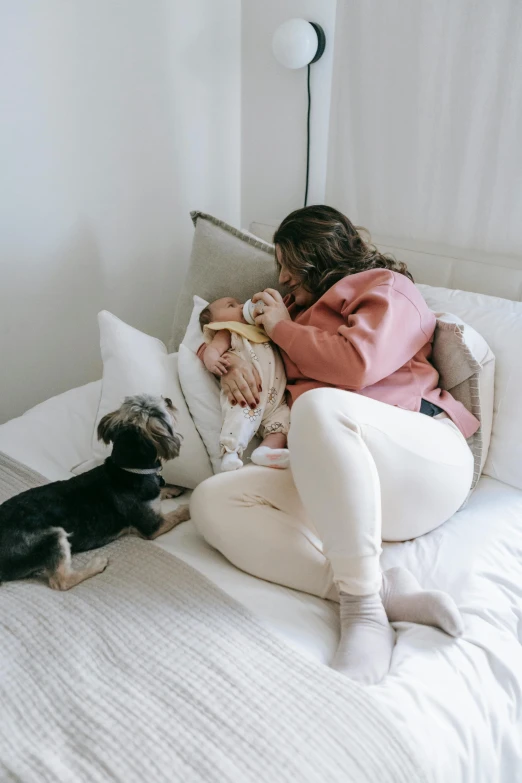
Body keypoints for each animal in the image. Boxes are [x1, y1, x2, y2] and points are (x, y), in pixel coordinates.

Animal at [0, 396, 190, 592]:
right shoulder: (152, 526)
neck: (128, 468)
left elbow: (161, 490)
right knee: (61, 581)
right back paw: (96, 564)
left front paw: (173, 488)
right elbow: (177, 514)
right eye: (162, 410)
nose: (168, 399)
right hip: (51, 537)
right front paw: (188, 507)